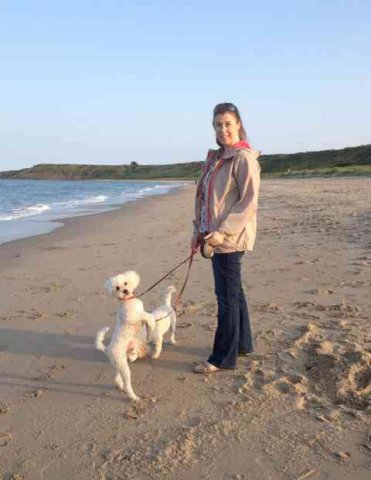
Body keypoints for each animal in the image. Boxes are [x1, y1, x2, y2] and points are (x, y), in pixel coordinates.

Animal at [96, 270, 177, 402]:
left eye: (125, 283)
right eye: (117, 288)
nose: (125, 291)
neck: (127, 300)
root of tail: (107, 349)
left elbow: (145, 315)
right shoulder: (133, 317)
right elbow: (146, 316)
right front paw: (152, 322)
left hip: (118, 363)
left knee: (117, 378)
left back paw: (120, 386)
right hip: (123, 365)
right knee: (127, 384)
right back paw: (134, 397)